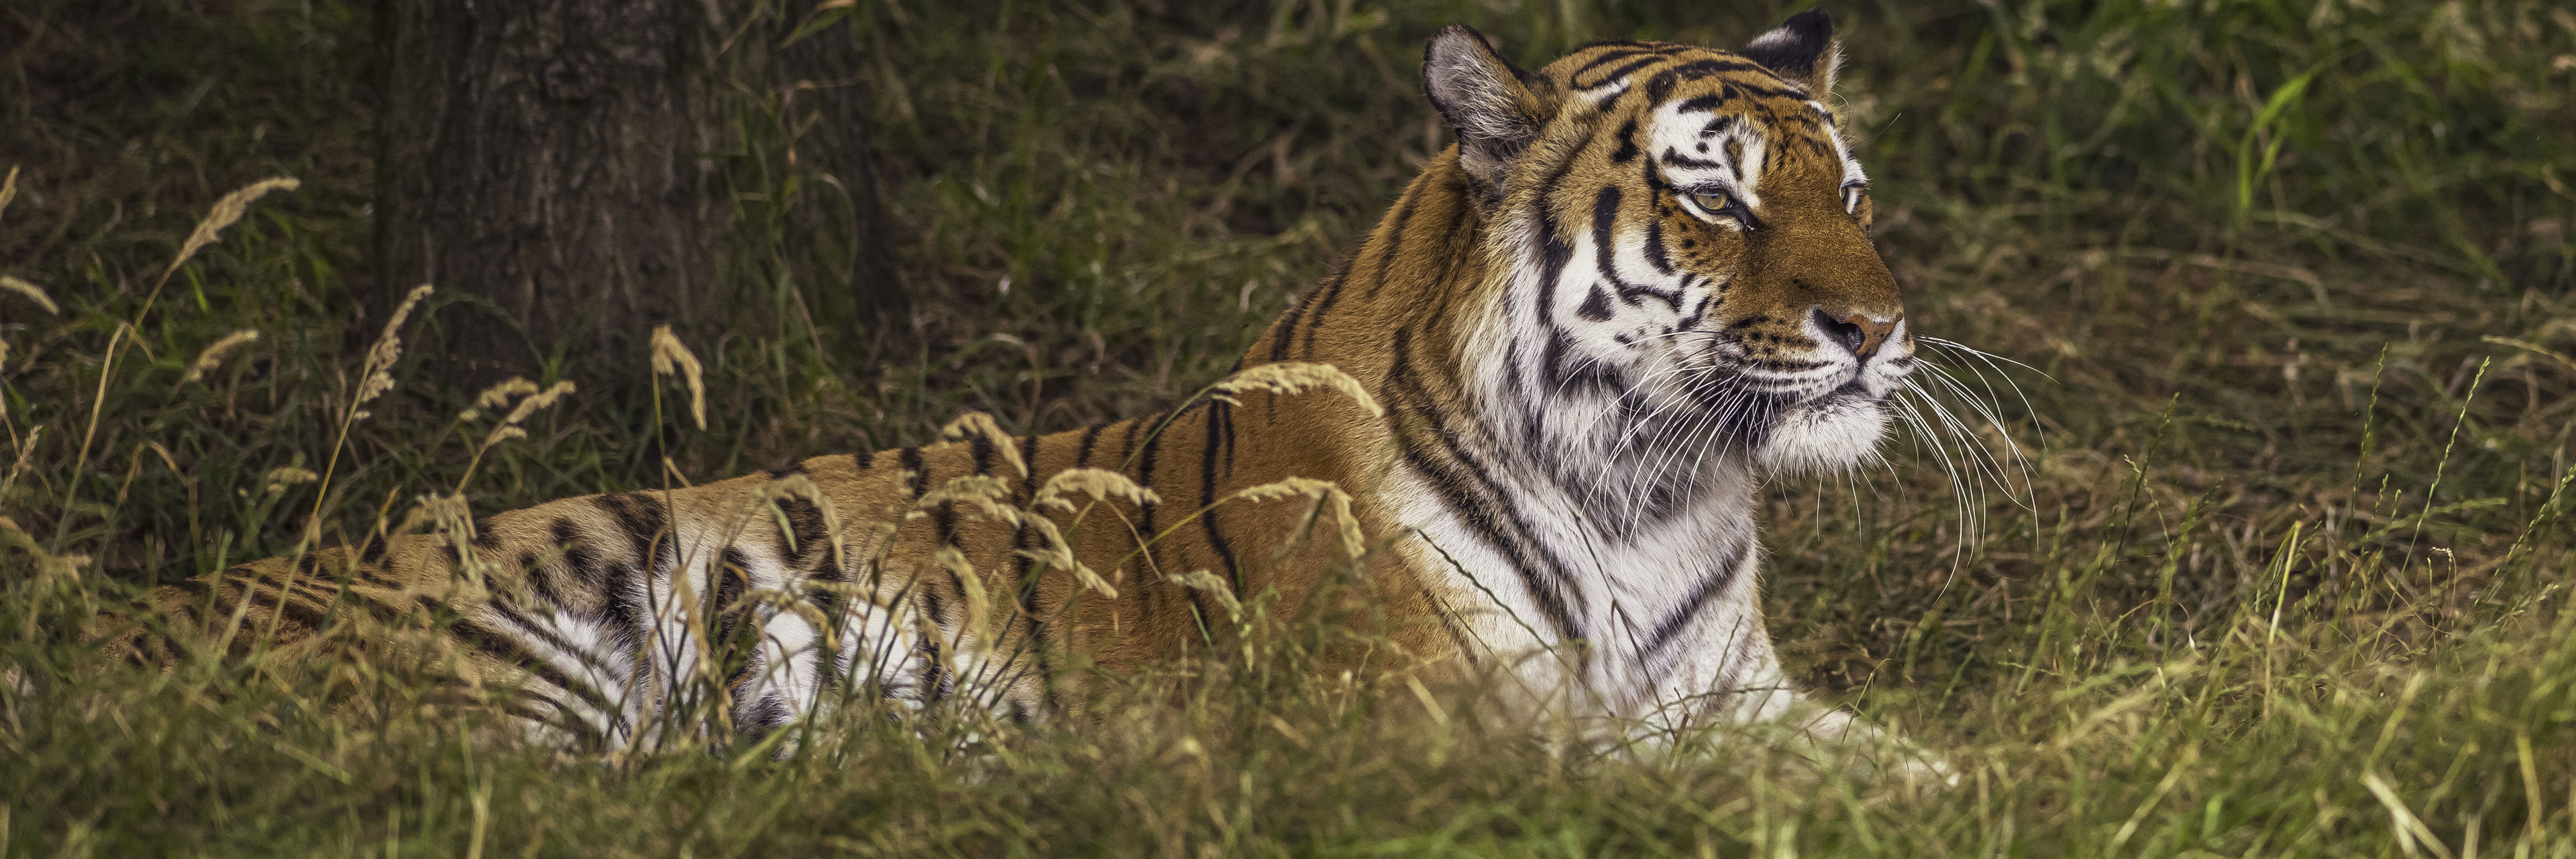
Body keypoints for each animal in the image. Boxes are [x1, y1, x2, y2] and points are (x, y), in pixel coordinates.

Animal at [125, 11, 1924, 756]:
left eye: (1849, 191)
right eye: (1716, 201)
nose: (1874, 326)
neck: (1652, 486)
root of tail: (127, 621)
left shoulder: (1738, 690)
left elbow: (1921, 764)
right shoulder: (1434, 728)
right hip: (533, 656)